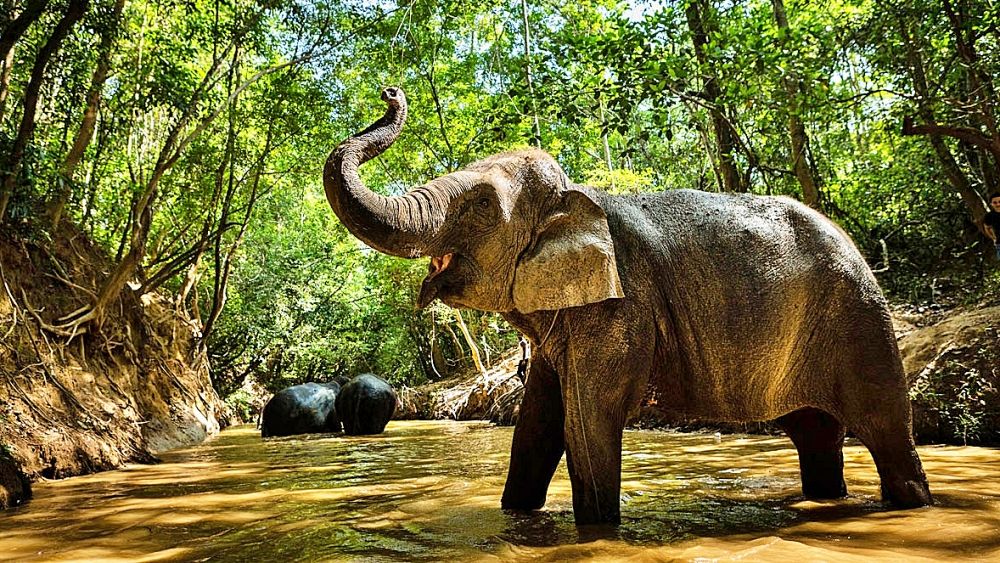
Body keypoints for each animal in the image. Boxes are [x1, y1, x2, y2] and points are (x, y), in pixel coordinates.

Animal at [322, 87, 932, 525]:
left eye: (480, 206)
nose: (390, 92)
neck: (578, 198)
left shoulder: (622, 310)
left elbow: (587, 424)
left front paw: (595, 526)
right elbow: (537, 426)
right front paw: (517, 513)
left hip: (861, 320)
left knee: (886, 433)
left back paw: (912, 503)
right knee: (816, 434)